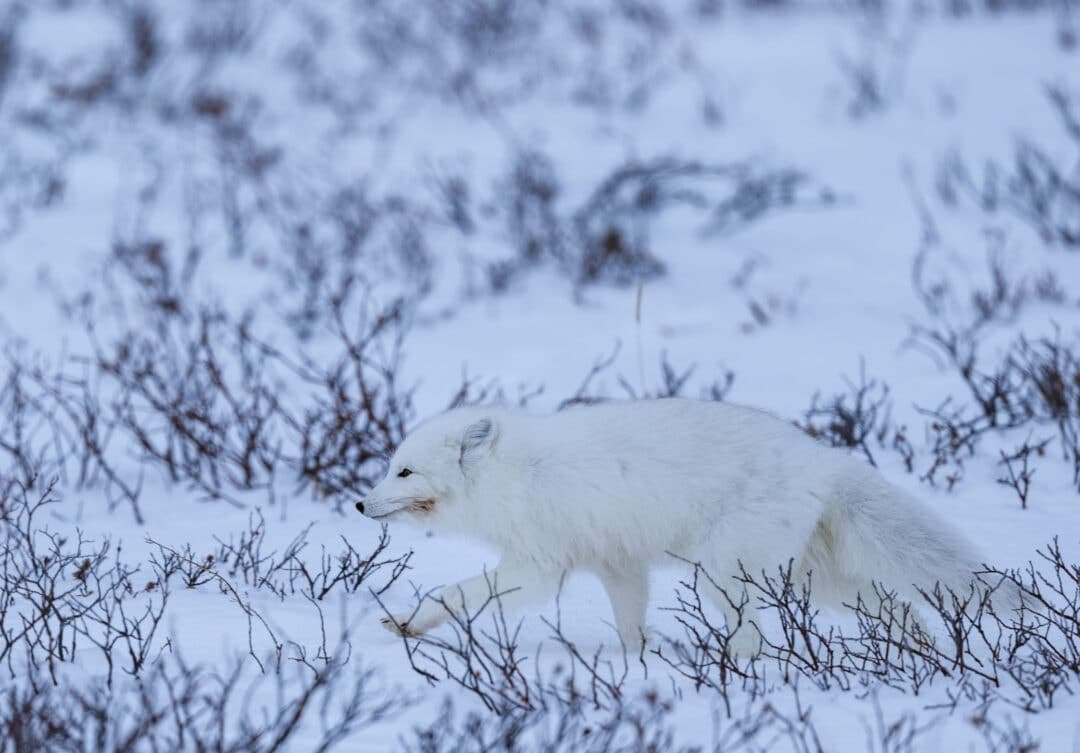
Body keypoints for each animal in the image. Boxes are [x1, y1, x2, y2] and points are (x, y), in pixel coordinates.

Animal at [357, 398, 1007, 655]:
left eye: (403, 470)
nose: (361, 505)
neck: (510, 475)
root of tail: (821, 459)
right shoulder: (617, 563)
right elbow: (629, 622)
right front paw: (639, 664)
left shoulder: (539, 566)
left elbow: (453, 593)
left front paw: (408, 624)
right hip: (813, 579)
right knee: (894, 607)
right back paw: (916, 652)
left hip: (729, 572)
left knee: (753, 637)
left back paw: (738, 672)